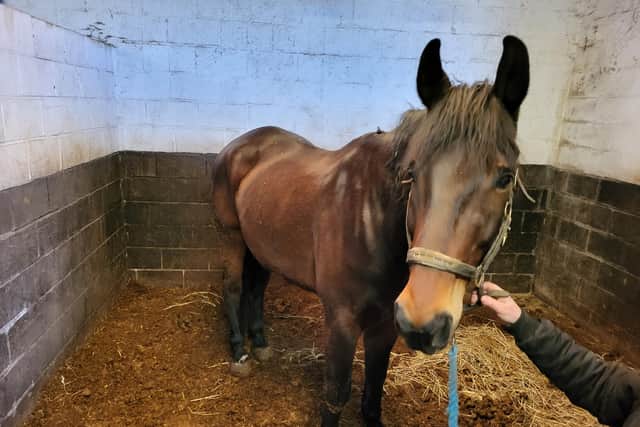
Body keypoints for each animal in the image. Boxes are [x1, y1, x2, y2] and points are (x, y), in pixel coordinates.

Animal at [211, 35, 530, 426]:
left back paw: (261, 344)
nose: (424, 320)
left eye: (506, 178)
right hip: (231, 236)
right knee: (233, 287)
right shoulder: (342, 320)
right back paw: (240, 353)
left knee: (256, 288)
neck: (371, 220)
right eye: (413, 173)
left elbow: (373, 394)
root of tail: (238, 146)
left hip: (261, 246)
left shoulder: (386, 324)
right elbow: (335, 395)